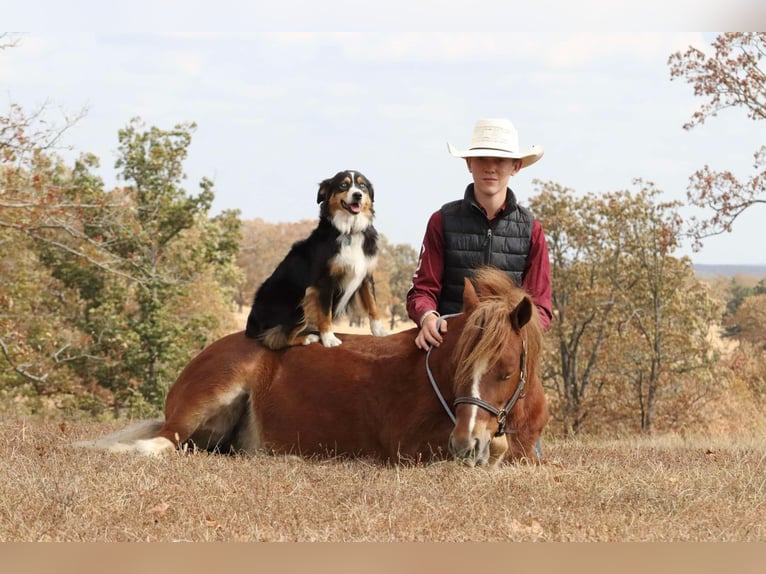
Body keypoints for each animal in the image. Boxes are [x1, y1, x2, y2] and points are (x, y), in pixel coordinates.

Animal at [81, 268, 548, 468]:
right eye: (459, 369)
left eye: (506, 372)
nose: (465, 445)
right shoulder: (406, 447)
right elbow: (499, 449)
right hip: (209, 397)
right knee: (162, 442)